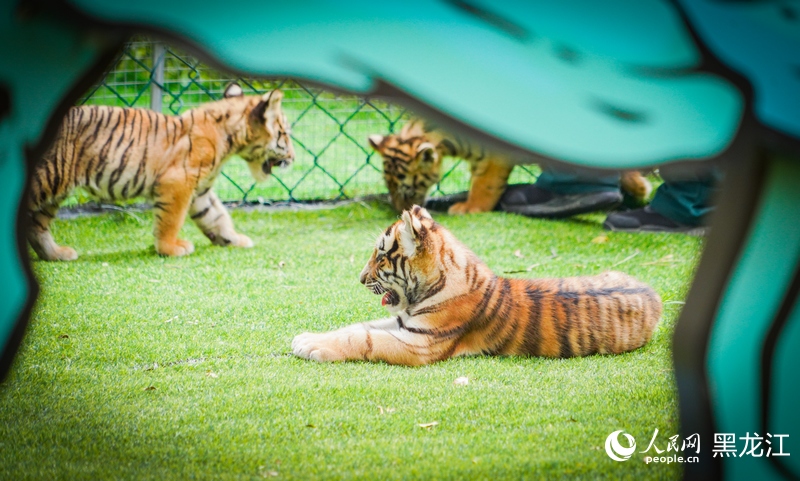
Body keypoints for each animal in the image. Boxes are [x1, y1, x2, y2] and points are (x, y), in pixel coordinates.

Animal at [27, 83, 294, 261]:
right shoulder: (179, 181)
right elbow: (171, 220)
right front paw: (171, 248)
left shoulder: (201, 191)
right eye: (284, 134)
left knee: (36, 226)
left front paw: (234, 239)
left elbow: (216, 217)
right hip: (46, 178)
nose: (293, 157)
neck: (230, 139)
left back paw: (56, 254)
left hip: (55, 189)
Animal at [292, 205, 662, 366]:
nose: (360, 278)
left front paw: (310, 346)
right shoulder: (403, 322)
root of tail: (654, 292)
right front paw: (308, 337)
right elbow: (356, 327)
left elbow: (364, 338)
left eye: (381, 258)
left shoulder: (419, 344)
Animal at [368, 118, 652, 214]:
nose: (398, 211)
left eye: (408, 189)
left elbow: (483, 184)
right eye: (388, 186)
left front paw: (470, 208)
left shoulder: (492, 158)